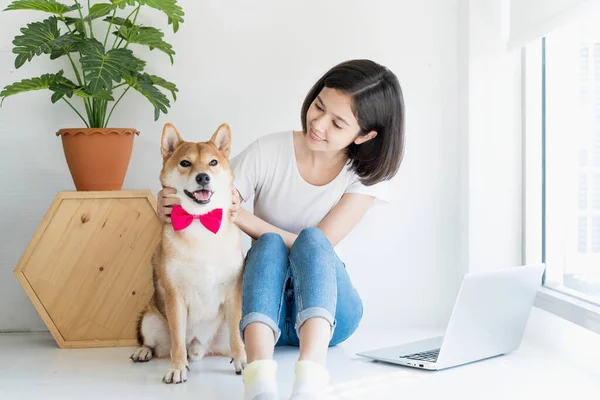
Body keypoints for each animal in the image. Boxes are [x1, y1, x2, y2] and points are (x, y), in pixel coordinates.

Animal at [131, 122, 246, 384]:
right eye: (185, 163)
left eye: (213, 162)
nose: (203, 176)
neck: (200, 224)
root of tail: (199, 345)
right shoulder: (175, 297)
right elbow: (177, 341)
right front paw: (177, 368)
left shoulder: (233, 293)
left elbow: (237, 337)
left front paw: (243, 361)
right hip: (150, 319)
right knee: (158, 345)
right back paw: (143, 351)